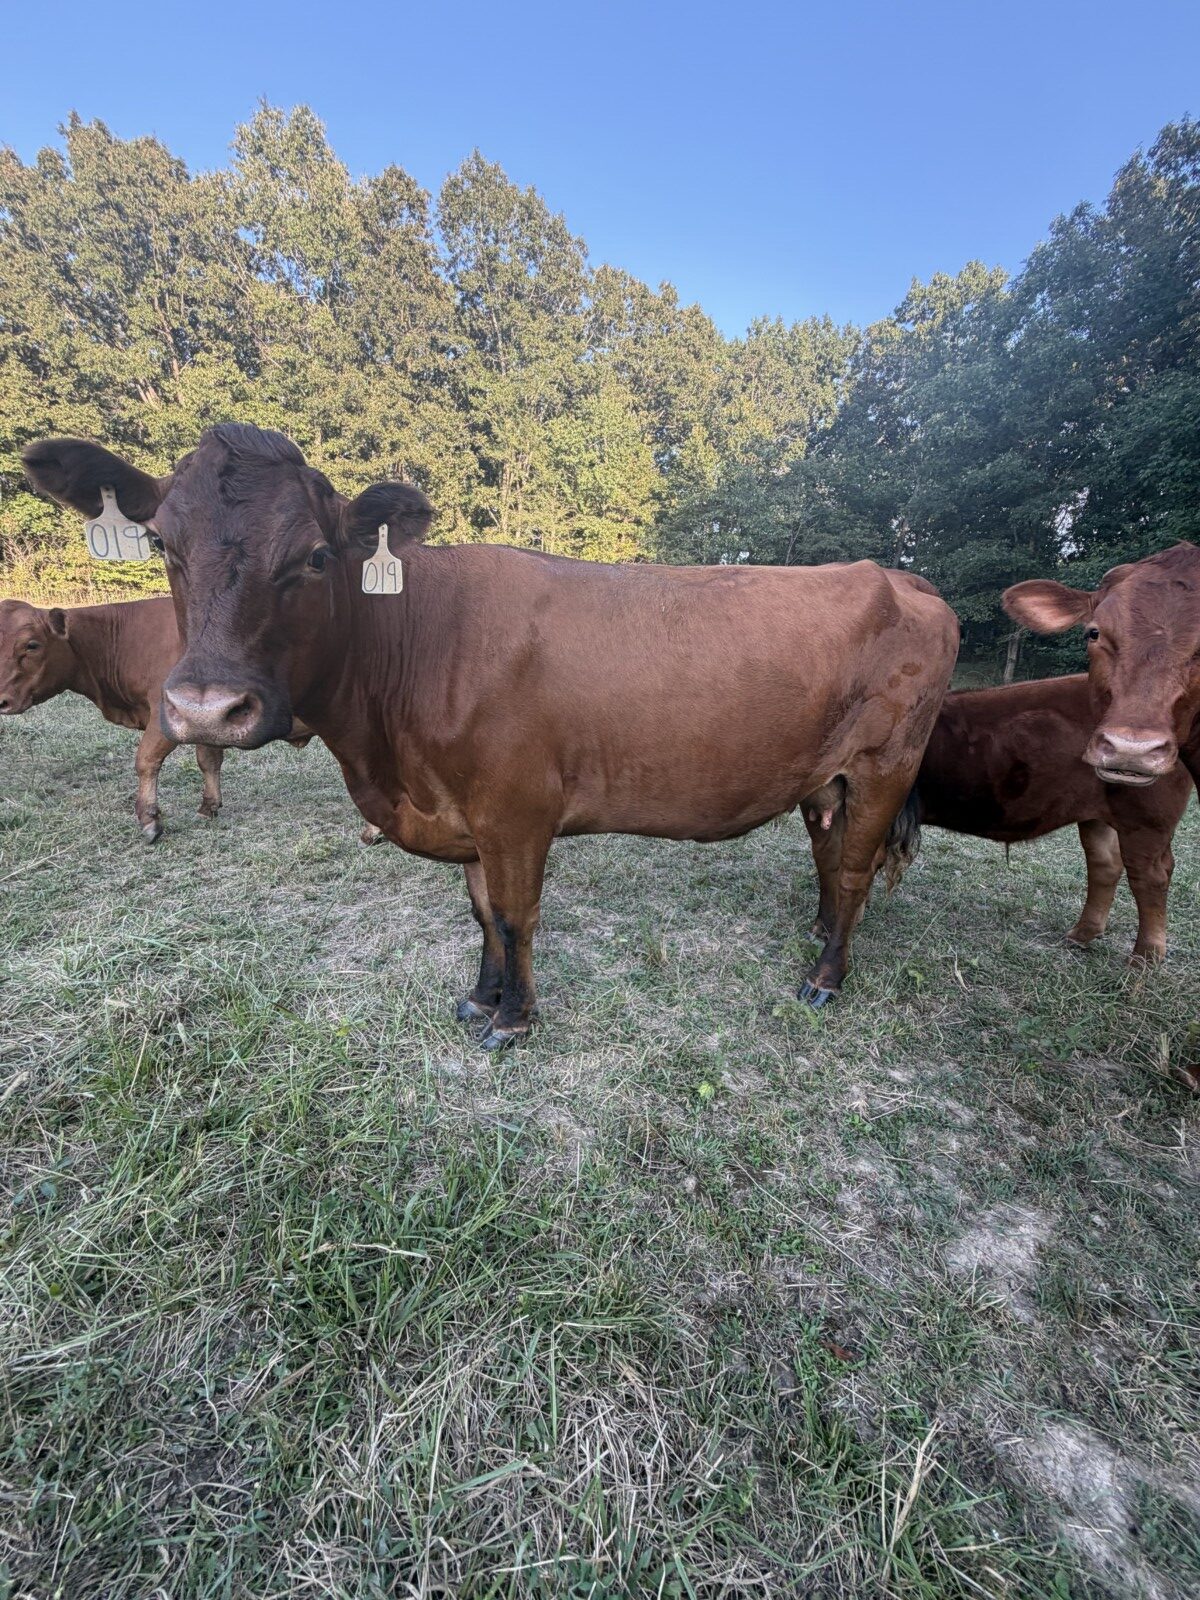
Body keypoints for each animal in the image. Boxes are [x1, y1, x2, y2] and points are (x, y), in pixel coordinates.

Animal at [23, 427, 960, 1047]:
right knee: (831, 862)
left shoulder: (516, 810)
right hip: (825, 778)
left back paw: (824, 978)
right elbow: (479, 915)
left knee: (853, 871)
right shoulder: (464, 813)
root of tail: (898, 574)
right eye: (161, 544)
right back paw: (816, 937)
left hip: (884, 765)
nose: (207, 709)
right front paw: (480, 997)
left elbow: (514, 915)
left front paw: (513, 1019)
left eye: (318, 557)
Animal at [803, 675, 1193, 963]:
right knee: (1105, 864)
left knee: (1151, 877)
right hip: (1100, 817)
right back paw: (1081, 935)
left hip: (1146, 820)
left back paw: (1144, 959)